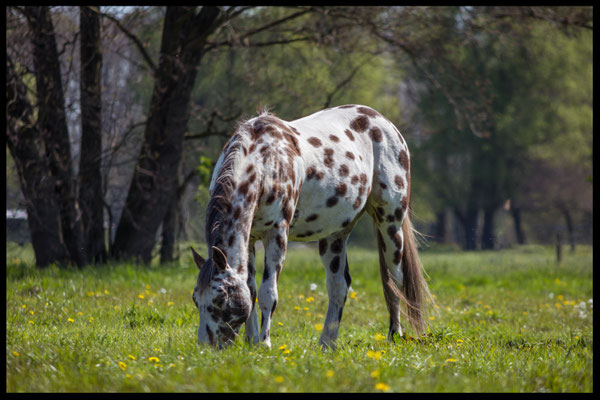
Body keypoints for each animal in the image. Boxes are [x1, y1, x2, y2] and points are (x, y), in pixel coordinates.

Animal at [191, 104, 432, 348]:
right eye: (195, 298)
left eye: (221, 299)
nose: (205, 347)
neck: (265, 161)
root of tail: (385, 123)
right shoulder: (249, 239)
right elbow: (251, 290)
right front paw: (251, 342)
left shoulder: (277, 234)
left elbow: (268, 293)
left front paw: (264, 344)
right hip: (335, 235)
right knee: (339, 287)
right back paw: (327, 344)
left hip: (390, 224)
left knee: (394, 282)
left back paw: (394, 336)